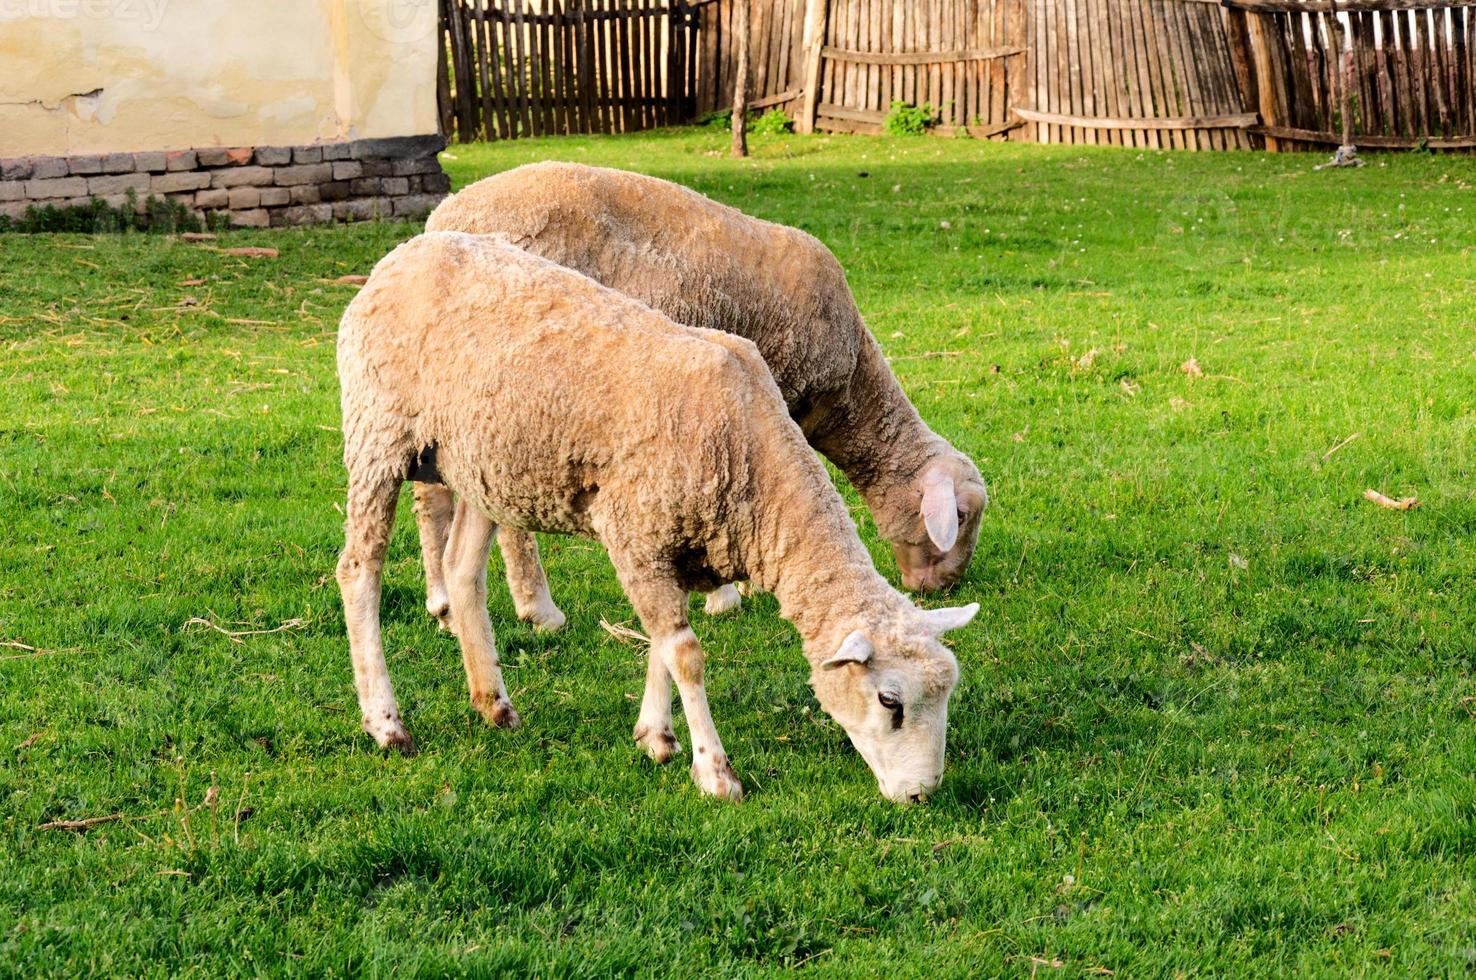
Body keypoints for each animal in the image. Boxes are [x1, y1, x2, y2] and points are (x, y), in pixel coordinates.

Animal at [336, 233, 980, 802]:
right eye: (890, 702)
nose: (920, 795)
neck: (754, 460)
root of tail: (403, 254)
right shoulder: (637, 535)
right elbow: (686, 654)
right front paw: (715, 773)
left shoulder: (677, 544)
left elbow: (661, 644)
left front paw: (656, 737)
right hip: (377, 433)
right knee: (359, 571)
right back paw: (387, 724)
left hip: (480, 463)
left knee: (463, 570)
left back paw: (493, 703)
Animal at [416, 164, 985, 631]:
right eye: (962, 515)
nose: (943, 588)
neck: (850, 394)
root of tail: (444, 216)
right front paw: (734, 593)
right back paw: (540, 609)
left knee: (431, 491)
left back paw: (442, 603)